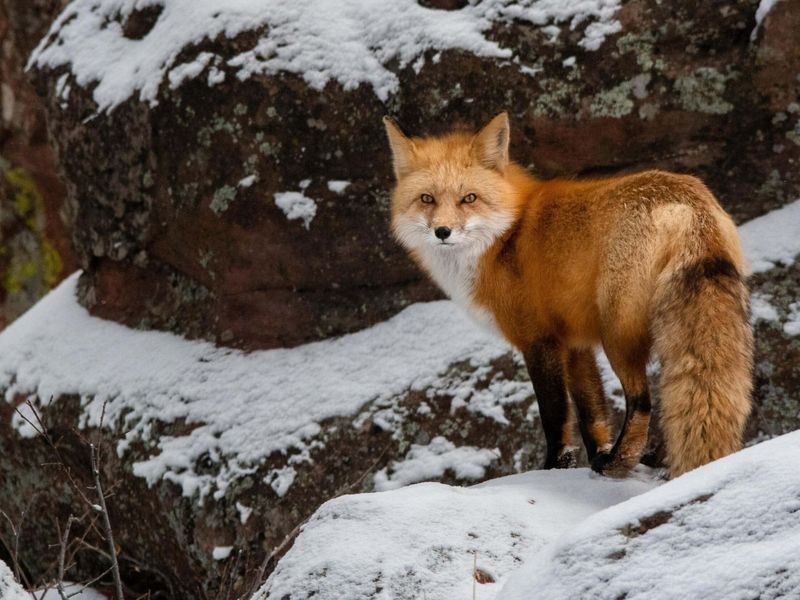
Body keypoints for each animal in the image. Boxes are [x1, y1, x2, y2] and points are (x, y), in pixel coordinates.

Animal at [384, 112, 752, 478]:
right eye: (427, 199)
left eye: (469, 198)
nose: (442, 231)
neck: (504, 237)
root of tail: (686, 200)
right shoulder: (575, 344)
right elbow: (592, 415)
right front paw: (593, 458)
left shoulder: (539, 340)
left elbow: (555, 418)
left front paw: (554, 468)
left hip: (617, 334)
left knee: (642, 401)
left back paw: (618, 462)